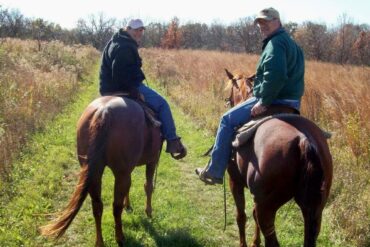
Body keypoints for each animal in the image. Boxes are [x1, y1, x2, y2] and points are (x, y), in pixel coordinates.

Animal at [39, 95, 163, 247]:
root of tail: (103, 112)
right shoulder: (152, 160)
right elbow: (148, 186)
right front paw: (149, 212)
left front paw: (129, 205)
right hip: (120, 173)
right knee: (116, 206)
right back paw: (120, 238)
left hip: (96, 173)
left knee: (97, 206)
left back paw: (99, 242)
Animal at [224, 70, 334, 247]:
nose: (227, 101)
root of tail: (304, 140)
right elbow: (253, 216)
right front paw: (255, 242)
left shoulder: (234, 180)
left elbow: (241, 216)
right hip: (315, 210)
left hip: (267, 207)